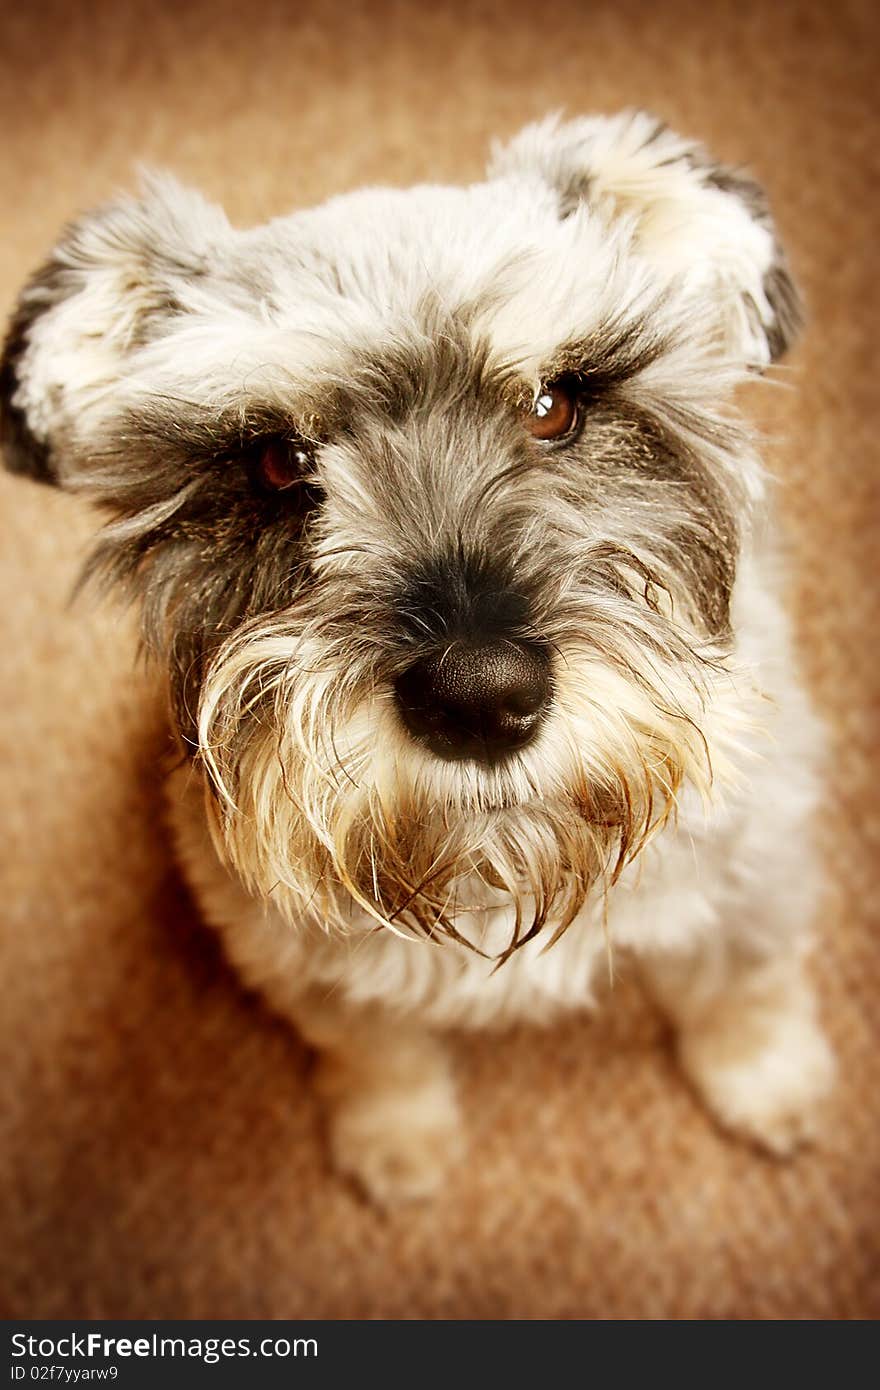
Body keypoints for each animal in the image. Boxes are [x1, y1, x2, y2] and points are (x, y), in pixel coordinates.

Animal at [0, 111, 834, 1206]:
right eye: (275, 461)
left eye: (555, 404)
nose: (479, 699)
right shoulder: (289, 953)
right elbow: (374, 1046)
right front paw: (396, 1139)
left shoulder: (758, 862)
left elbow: (745, 985)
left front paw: (770, 1081)